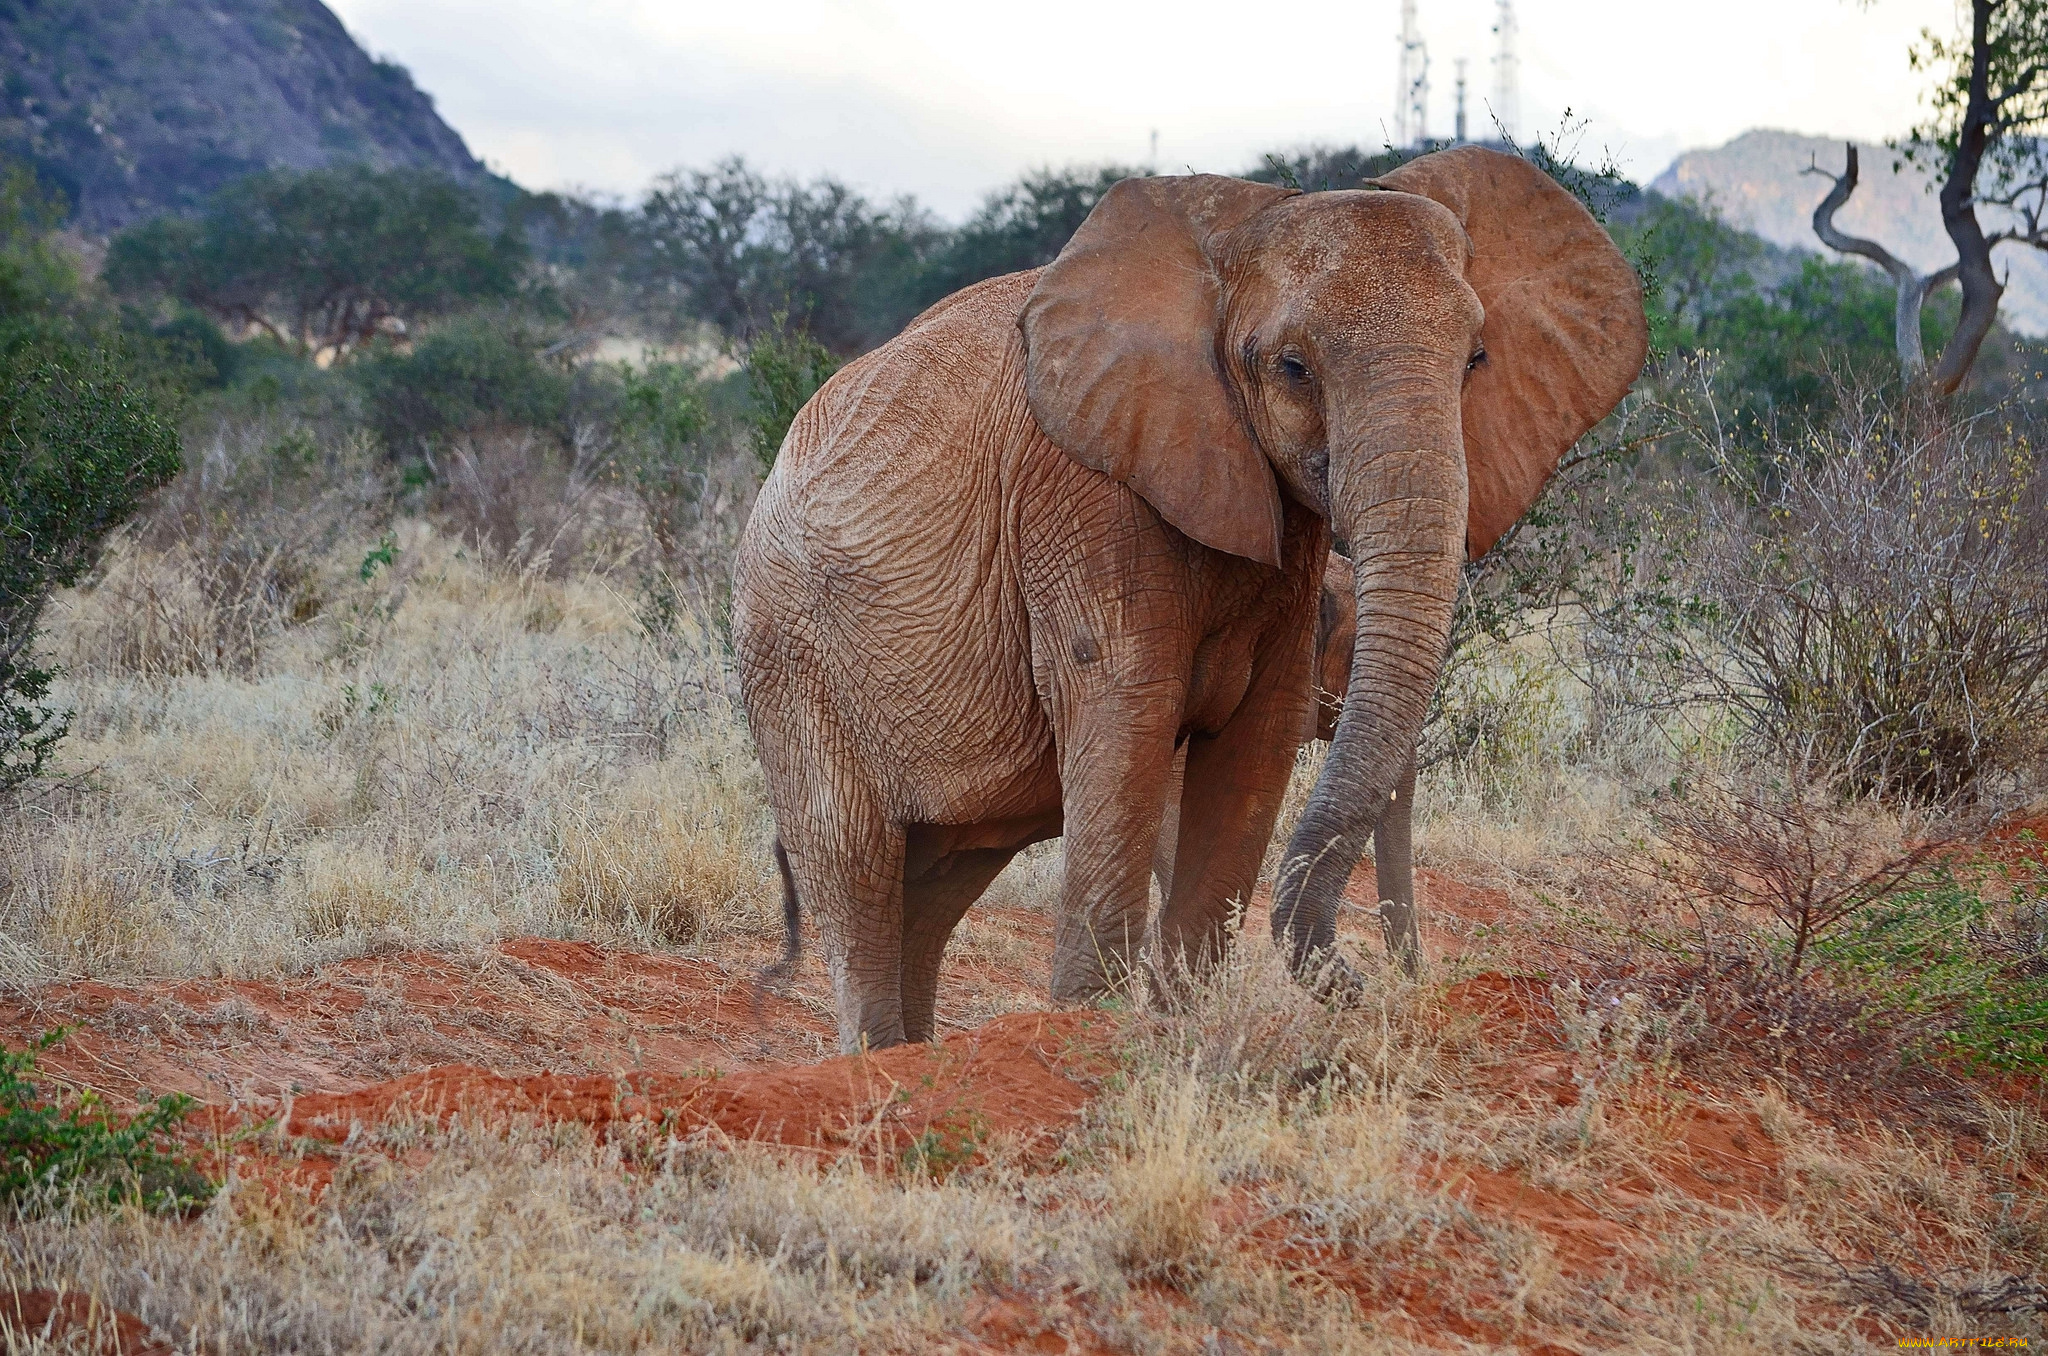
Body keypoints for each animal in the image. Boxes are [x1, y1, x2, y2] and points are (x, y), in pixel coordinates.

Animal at [737, 146, 1646, 1048]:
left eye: (1476, 361)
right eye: (1292, 368)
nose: (1376, 988)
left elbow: (1254, 750)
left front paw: (1180, 1029)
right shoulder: (1083, 498)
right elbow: (1128, 720)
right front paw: (1093, 1033)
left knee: (937, 884)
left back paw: (917, 1056)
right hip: (789, 655)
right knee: (856, 869)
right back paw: (877, 1055)